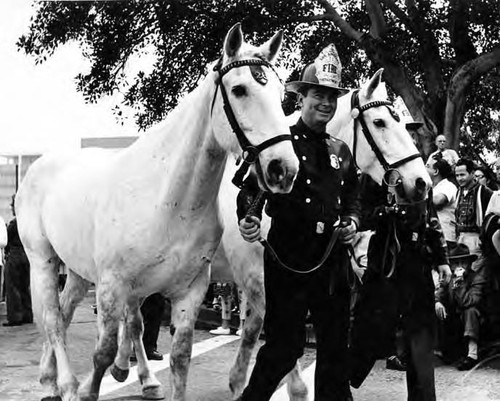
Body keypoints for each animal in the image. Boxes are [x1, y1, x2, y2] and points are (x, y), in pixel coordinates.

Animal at [15, 24, 298, 400]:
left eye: (280, 94)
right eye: (239, 90)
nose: (284, 169)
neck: (168, 200)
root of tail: (39, 166)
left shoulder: (189, 291)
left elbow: (180, 356)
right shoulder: (112, 286)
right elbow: (103, 351)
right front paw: (92, 387)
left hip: (77, 270)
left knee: (66, 310)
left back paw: (58, 378)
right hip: (43, 259)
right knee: (53, 319)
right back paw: (65, 384)